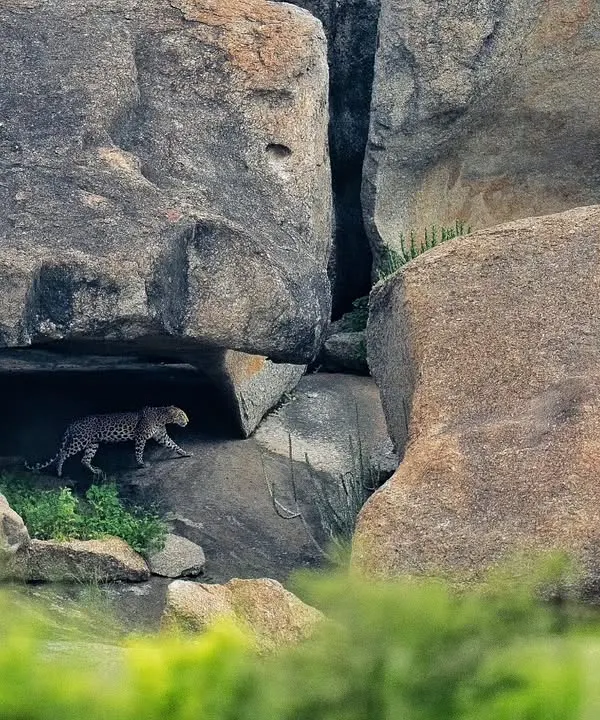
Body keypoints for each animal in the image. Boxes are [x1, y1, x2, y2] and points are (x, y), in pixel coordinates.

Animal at [25, 406, 192, 477]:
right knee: (63, 454)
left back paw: (95, 470)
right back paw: (59, 471)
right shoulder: (141, 436)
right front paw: (141, 464)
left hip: (92, 444)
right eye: (182, 415)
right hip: (80, 441)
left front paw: (186, 453)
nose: (188, 421)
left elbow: (174, 445)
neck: (162, 417)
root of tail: (74, 422)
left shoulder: (162, 437)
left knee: (85, 459)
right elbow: (139, 451)